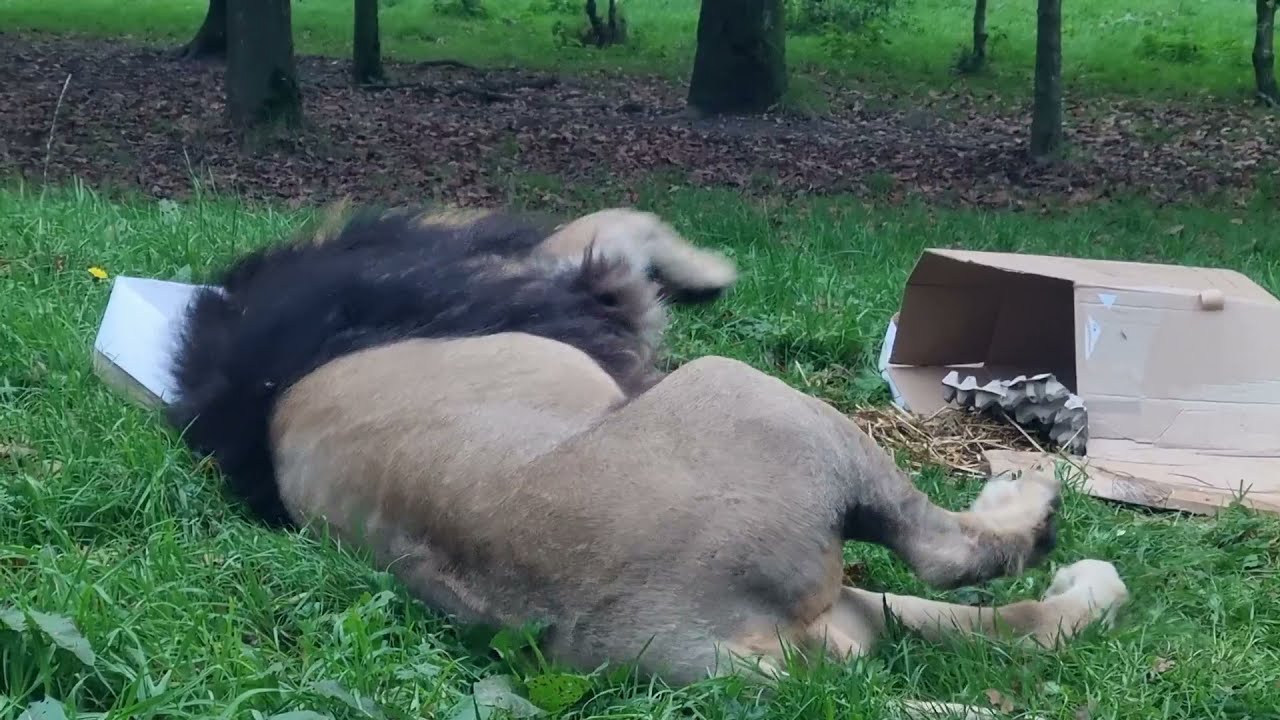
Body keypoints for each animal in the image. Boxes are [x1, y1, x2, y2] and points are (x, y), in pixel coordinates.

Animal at [166, 203, 1128, 718]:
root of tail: (719, 653)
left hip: (838, 617)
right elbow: (614, 227)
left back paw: (1085, 580)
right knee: (947, 556)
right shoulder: (576, 276)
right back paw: (1027, 501)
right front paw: (710, 269)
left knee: (1006, 619)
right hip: (754, 397)